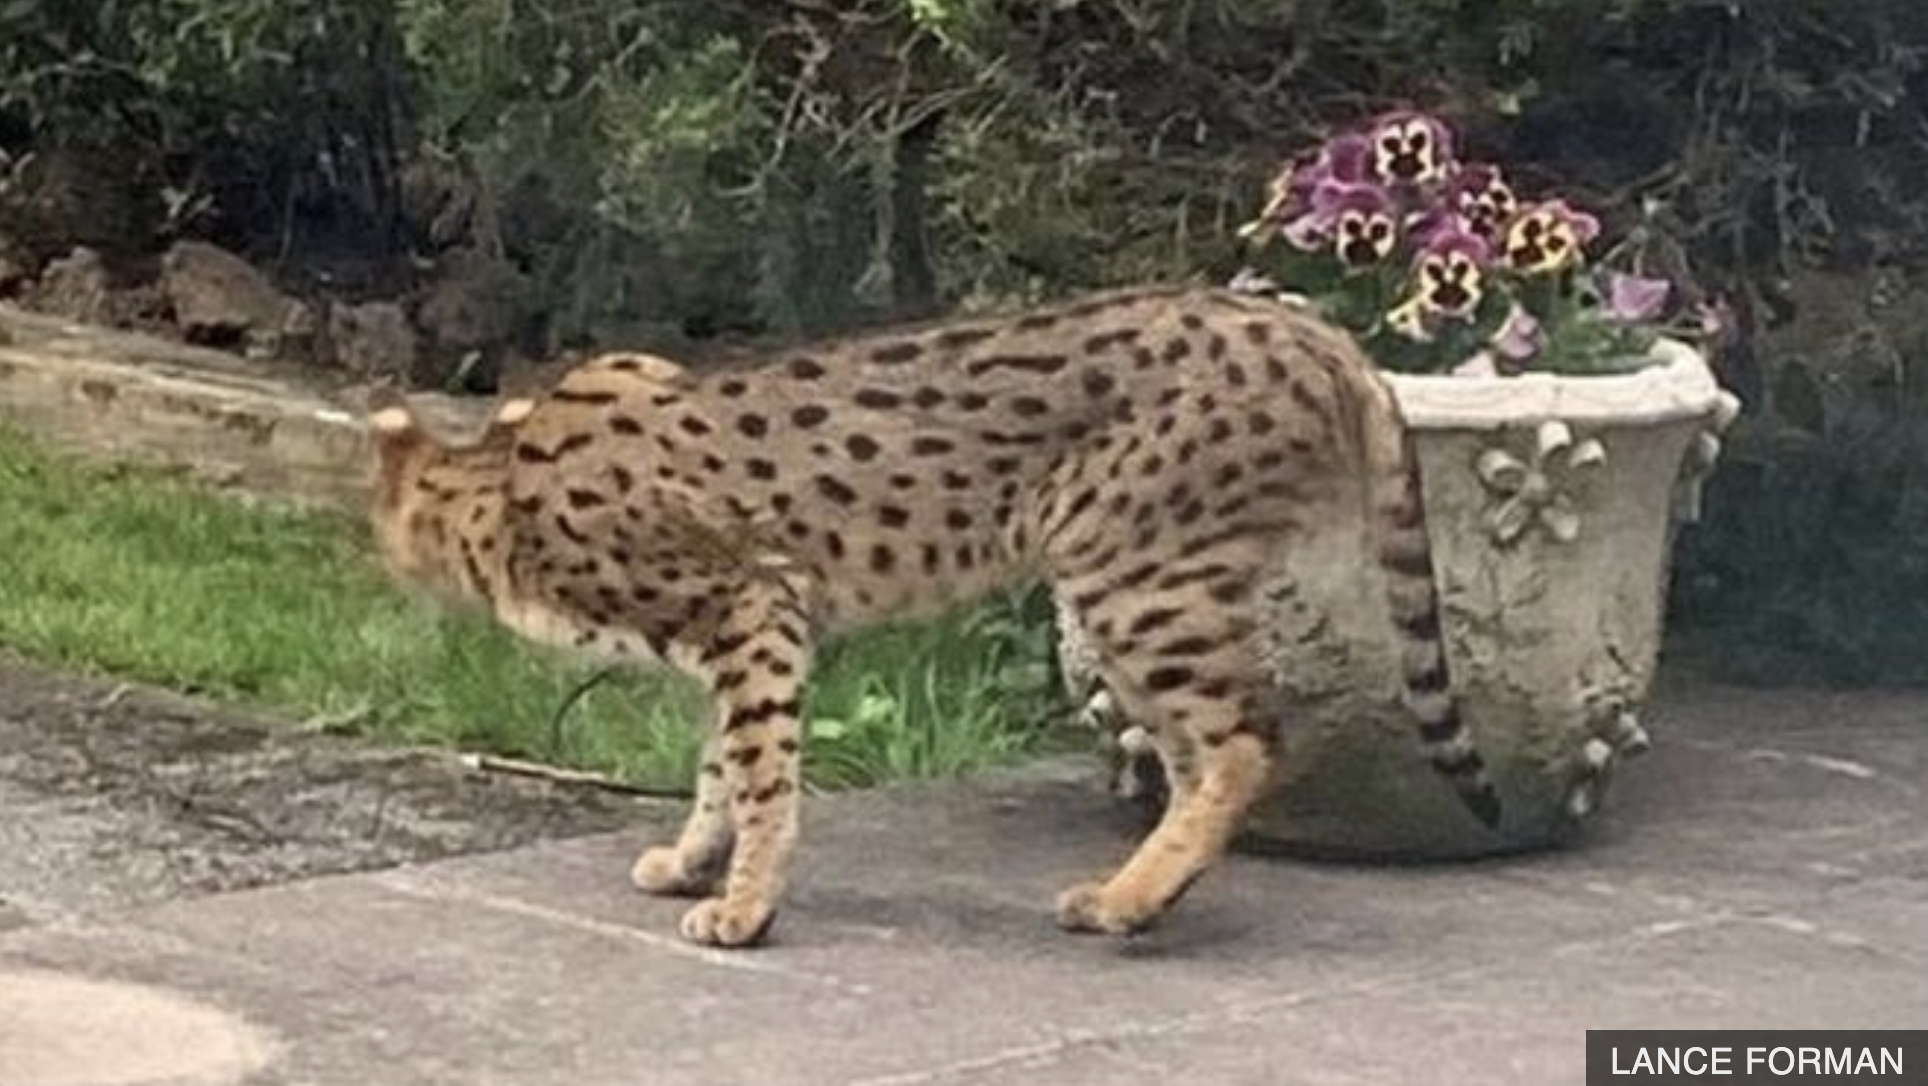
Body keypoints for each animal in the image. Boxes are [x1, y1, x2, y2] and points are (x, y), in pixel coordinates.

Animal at [364, 285, 1503, 949]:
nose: (388, 577)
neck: (499, 483)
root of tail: (1307, 325)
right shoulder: (748, 631)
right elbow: (719, 767)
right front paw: (693, 858)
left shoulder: (754, 611)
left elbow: (761, 776)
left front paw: (743, 904)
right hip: (1140, 593)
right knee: (1201, 753)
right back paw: (1141, 893)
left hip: (1129, 579)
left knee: (1243, 744)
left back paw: (1133, 897)